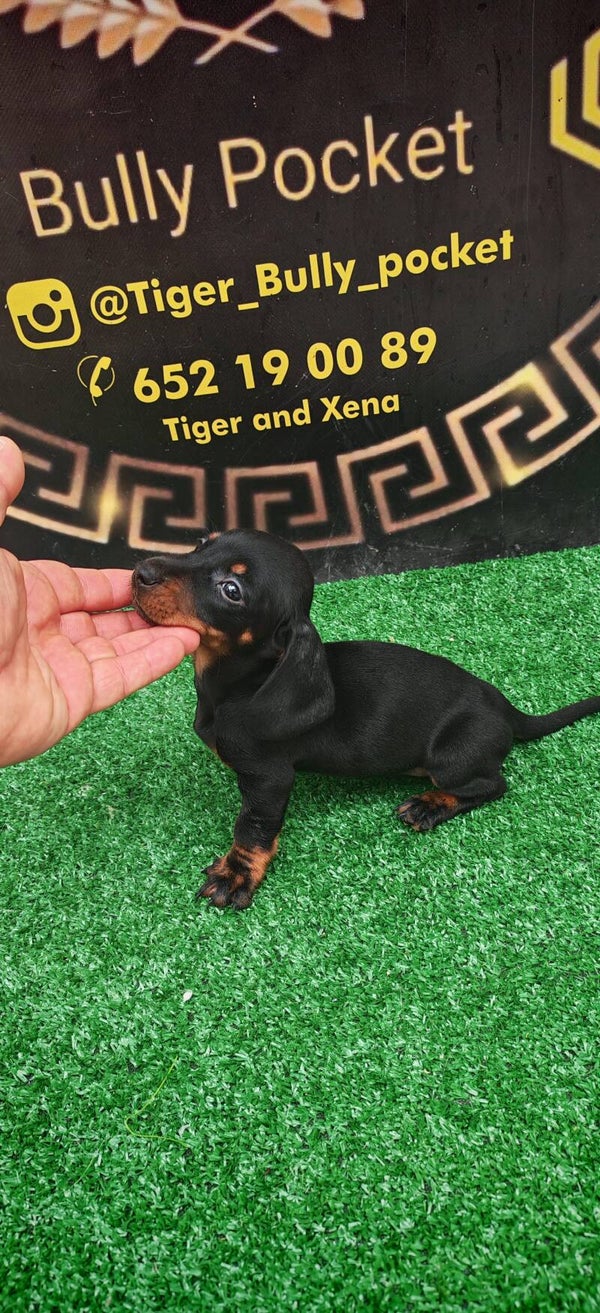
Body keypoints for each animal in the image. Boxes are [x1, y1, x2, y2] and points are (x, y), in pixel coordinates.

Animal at [132, 530, 600, 910]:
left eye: (232, 589)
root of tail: (505, 708)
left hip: (453, 756)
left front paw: (237, 874)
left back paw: (431, 805)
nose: (140, 572)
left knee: (491, 785)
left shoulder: (269, 778)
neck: (239, 683)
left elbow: (252, 827)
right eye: (202, 543)